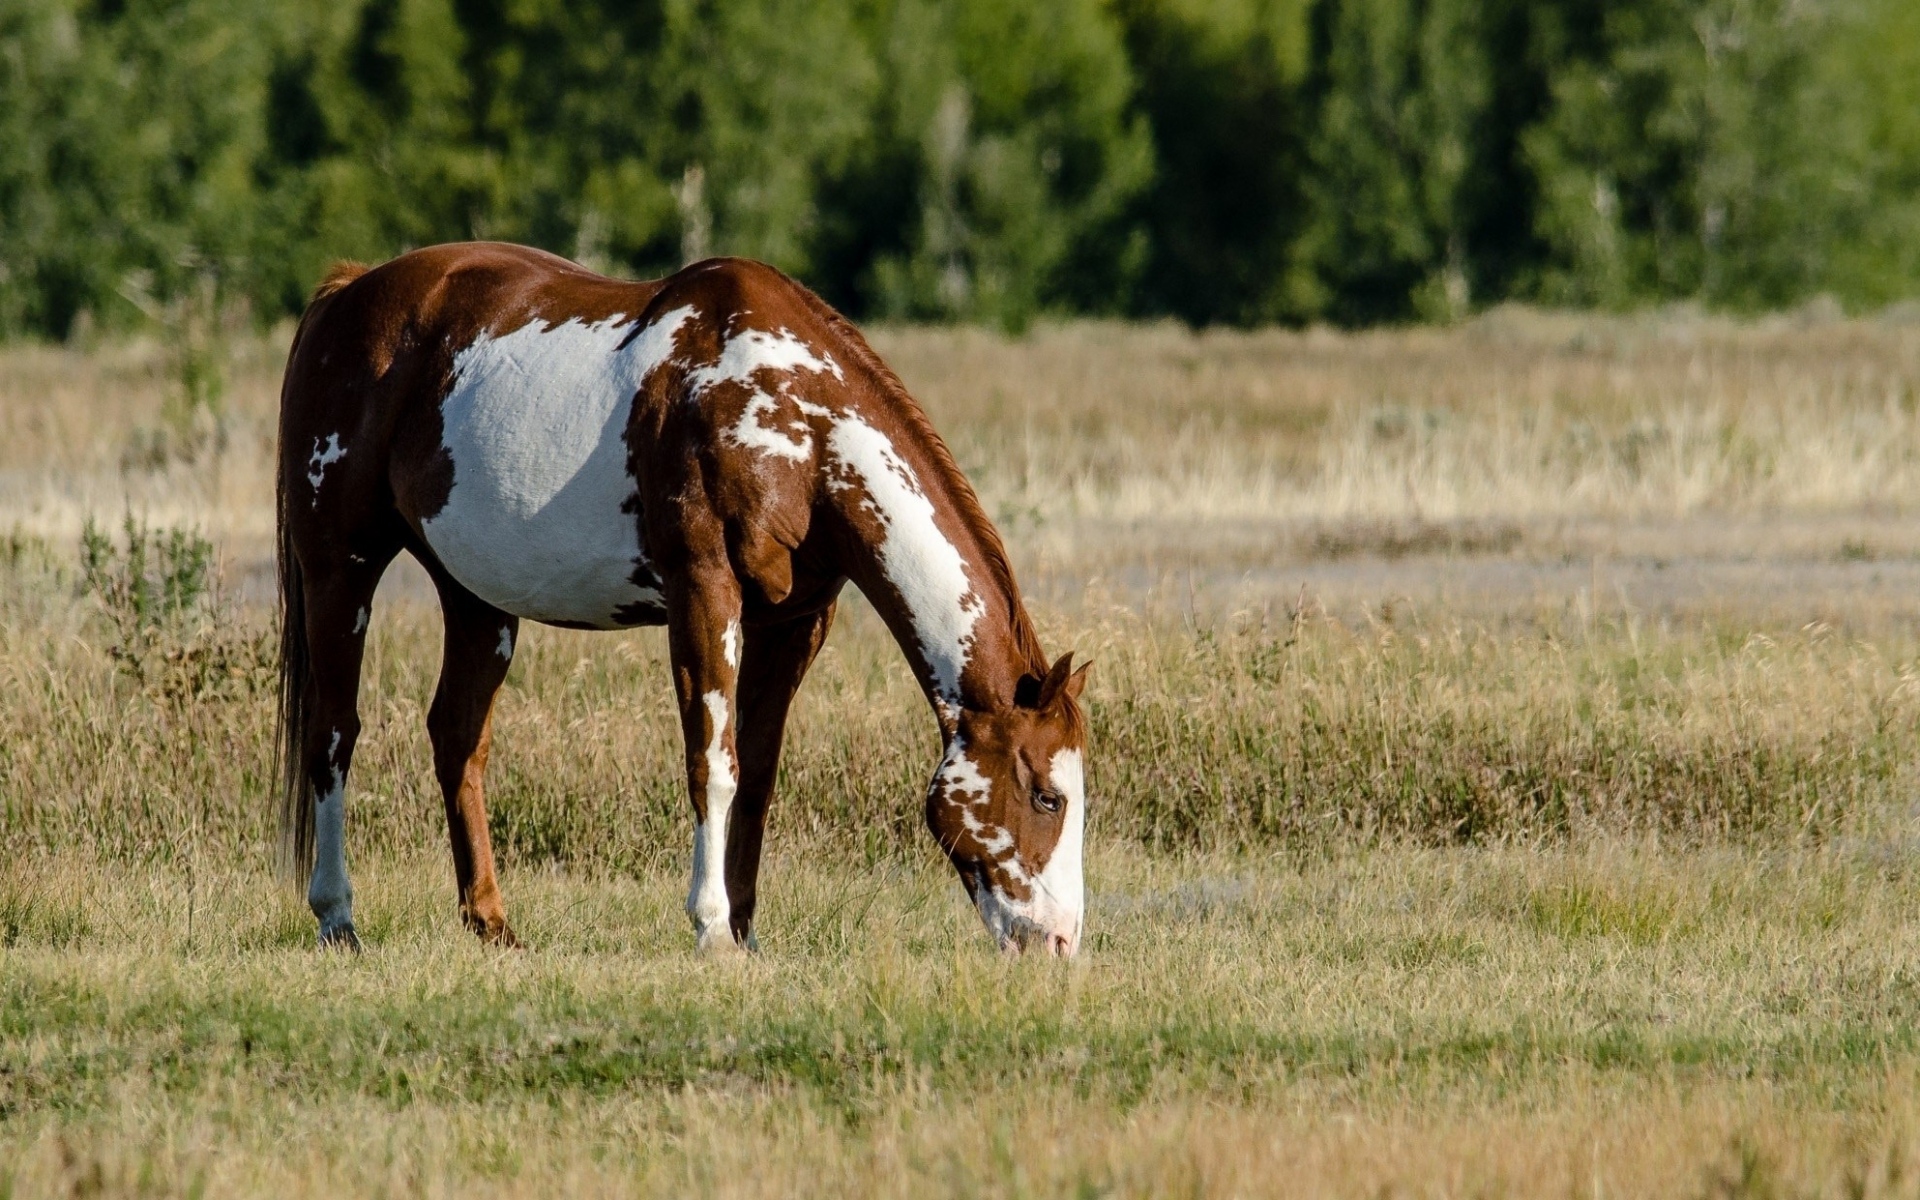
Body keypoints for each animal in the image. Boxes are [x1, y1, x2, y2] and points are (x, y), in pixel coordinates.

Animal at [275, 242, 1090, 957]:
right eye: (1047, 795)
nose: (1059, 942)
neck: (798, 424)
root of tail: (346, 294)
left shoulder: (795, 620)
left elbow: (756, 775)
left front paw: (746, 931)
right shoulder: (704, 590)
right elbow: (712, 763)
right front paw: (711, 928)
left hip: (475, 596)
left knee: (458, 738)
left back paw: (492, 924)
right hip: (340, 568)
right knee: (333, 732)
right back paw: (338, 918)